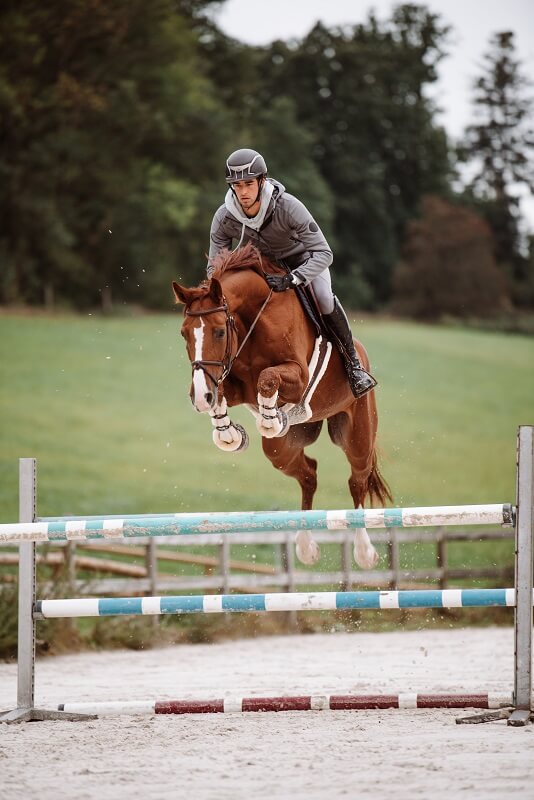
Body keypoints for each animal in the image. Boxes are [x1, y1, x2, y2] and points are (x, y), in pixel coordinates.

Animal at [174, 244, 392, 568]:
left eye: (219, 332)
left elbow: (268, 377)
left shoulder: (297, 377)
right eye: (184, 333)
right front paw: (229, 433)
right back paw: (305, 546)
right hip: (280, 450)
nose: (200, 397)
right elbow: (224, 392)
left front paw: (269, 419)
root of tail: (362, 354)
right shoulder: (234, 384)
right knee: (309, 473)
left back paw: (364, 551)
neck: (253, 319)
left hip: (357, 436)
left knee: (357, 479)